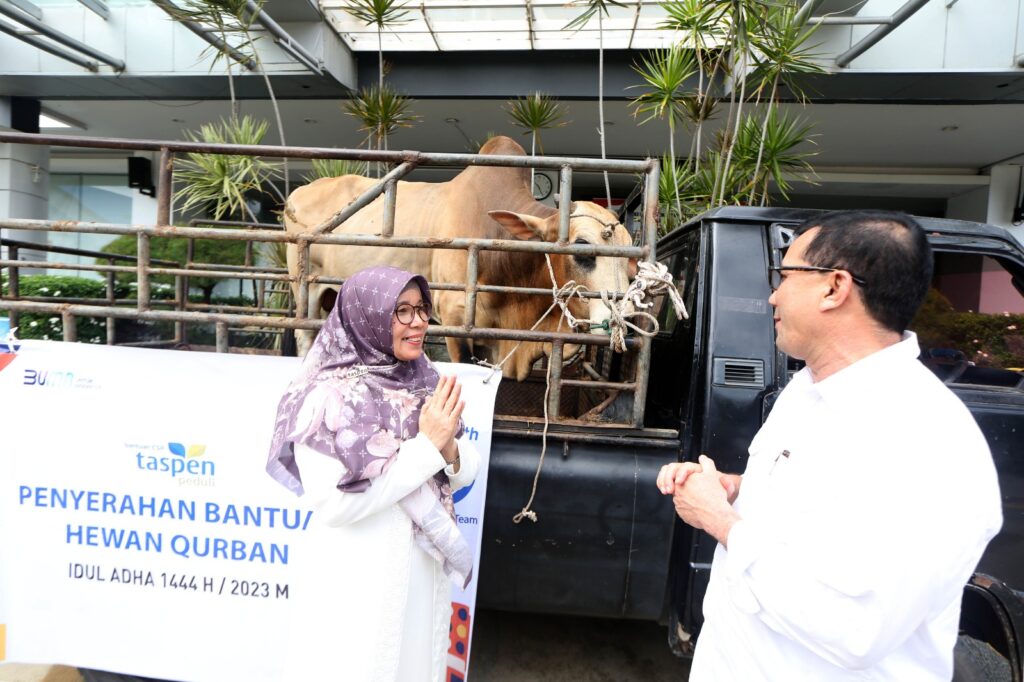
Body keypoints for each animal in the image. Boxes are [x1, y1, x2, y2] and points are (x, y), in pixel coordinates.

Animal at [280, 135, 630, 378]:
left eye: (630, 261)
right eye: (582, 247)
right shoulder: (455, 319)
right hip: (306, 290)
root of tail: (297, 193)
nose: (622, 320)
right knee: (305, 335)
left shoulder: (494, 338)